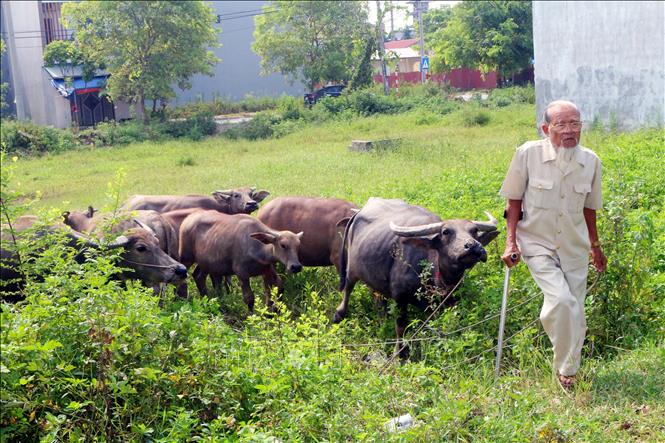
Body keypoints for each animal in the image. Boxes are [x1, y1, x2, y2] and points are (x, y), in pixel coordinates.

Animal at [334, 198, 496, 358]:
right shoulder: (400, 298)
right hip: (351, 270)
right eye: (446, 232)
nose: (473, 246)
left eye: (474, 230)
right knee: (348, 289)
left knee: (377, 297)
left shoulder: (446, 303)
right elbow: (401, 326)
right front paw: (399, 353)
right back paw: (339, 314)